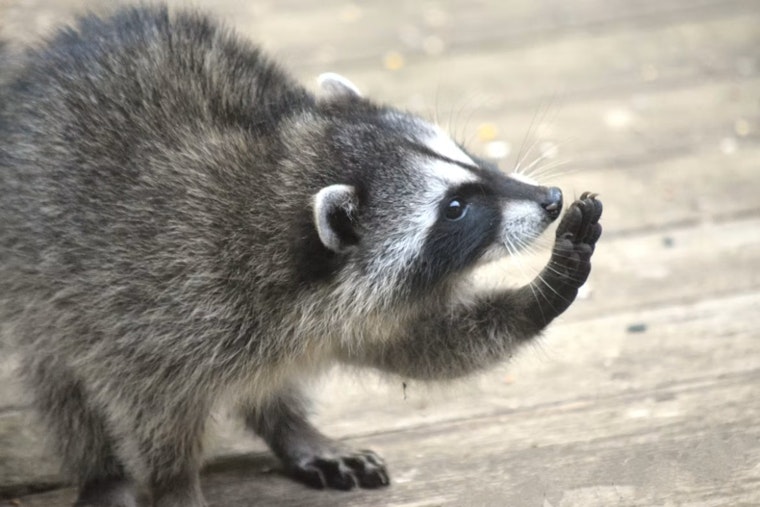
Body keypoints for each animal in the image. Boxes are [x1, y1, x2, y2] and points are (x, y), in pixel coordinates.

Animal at [0, 6, 602, 507]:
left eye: (465, 155)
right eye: (456, 207)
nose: (550, 200)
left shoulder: (355, 308)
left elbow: (424, 345)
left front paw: (544, 290)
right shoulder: (156, 296)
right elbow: (150, 404)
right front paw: (171, 484)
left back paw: (291, 429)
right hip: (35, 270)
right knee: (60, 376)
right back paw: (100, 471)